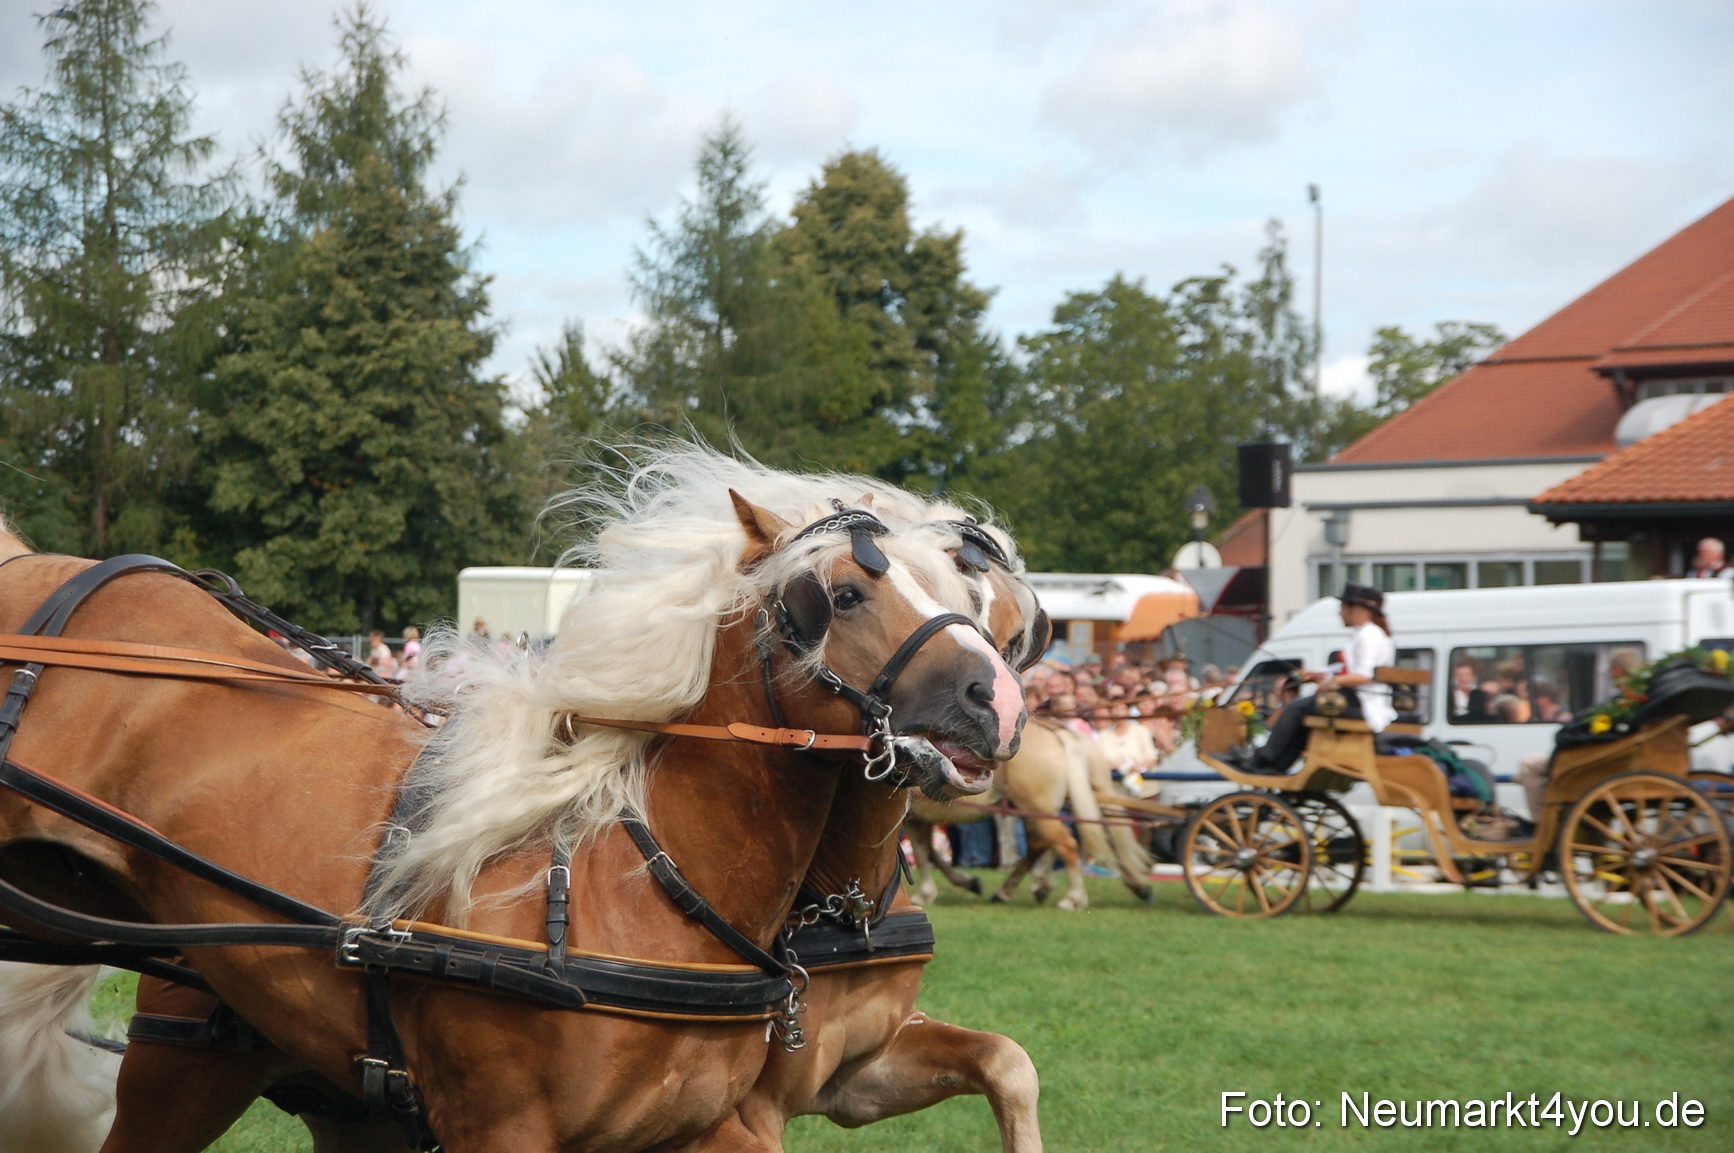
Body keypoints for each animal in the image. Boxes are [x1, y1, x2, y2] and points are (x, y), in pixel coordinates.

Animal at [0, 447, 1045, 1153]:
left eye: (989, 607)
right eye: (840, 596)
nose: (996, 699)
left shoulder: (744, 1110)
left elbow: (1010, 1062)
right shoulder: (513, 1127)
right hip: (183, 1068)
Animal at [906, 717, 1152, 912]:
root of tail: (1057, 731)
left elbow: (923, 852)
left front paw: (926, 892)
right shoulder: (916, 817)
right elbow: (926, 851)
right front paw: (960, 884)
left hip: (1038, 808)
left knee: (1065, 843)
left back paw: (1073, 897)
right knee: (1053, 842)